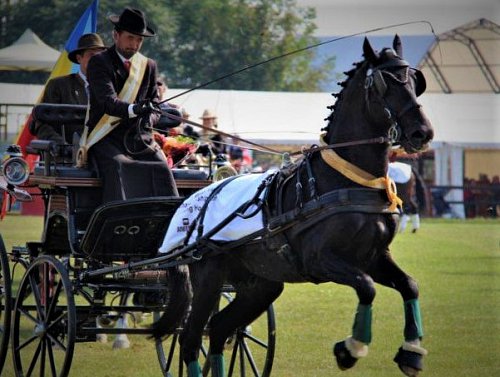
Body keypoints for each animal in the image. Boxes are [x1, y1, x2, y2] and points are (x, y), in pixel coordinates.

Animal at [152, 36, 434, 376]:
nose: (422, 132)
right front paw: (350, 349)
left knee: (219, 328)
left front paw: (411, 353)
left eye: (416, 83)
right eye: (385, 84)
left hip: (260, 284)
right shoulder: (321, 260)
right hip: (208, 277)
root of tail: (193, 203)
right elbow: (367, 287)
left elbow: (410, 285)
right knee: (191, 339)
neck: (348, 180)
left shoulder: (374, 257)